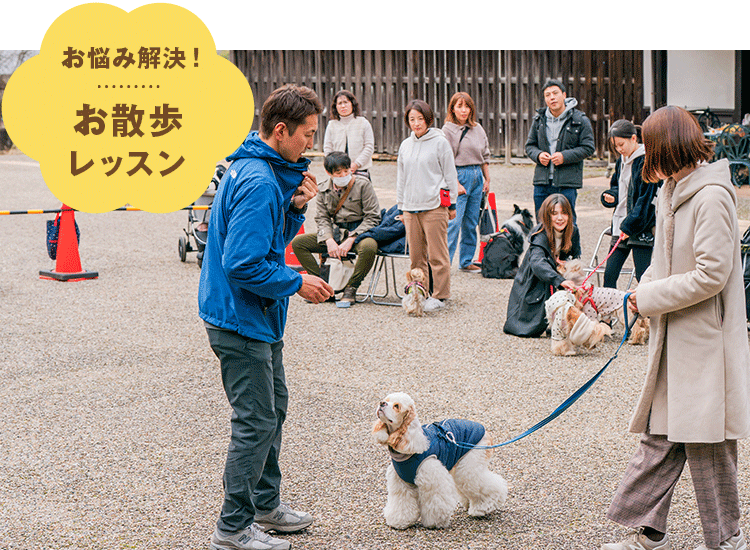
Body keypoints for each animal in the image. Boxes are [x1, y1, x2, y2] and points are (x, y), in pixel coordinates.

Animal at [374, 392, 508, 532]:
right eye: (386, 400)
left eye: (397, 406)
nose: (381, 403)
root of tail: (484, 430)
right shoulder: (401, 483)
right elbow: (401, 503)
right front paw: (400, 521)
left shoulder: (432, 479)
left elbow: (436, 502)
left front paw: (435, 522)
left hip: (469, 465)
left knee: (486, 484)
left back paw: (483, 508)